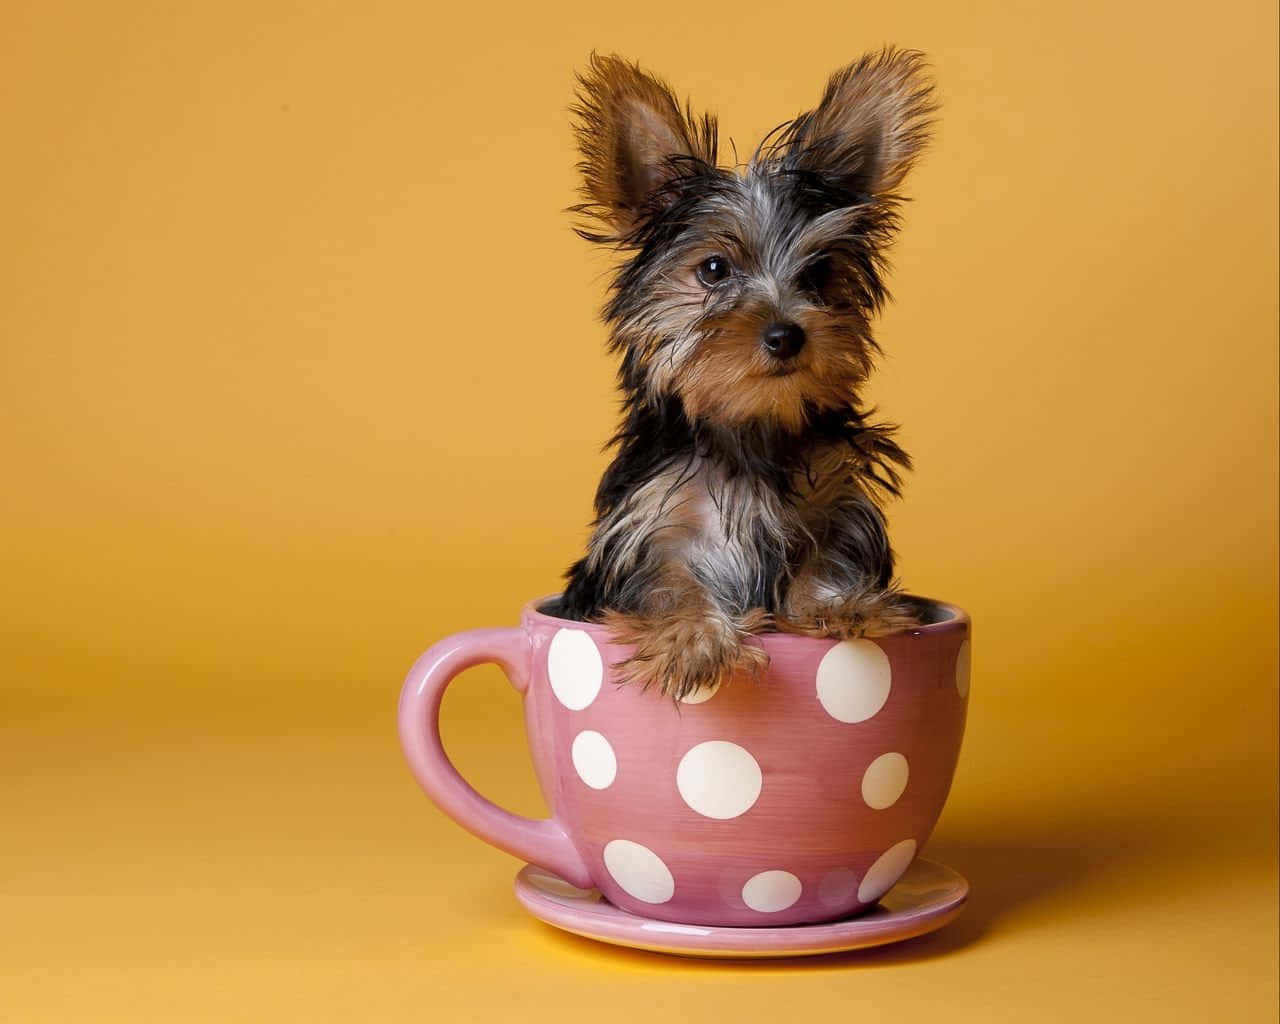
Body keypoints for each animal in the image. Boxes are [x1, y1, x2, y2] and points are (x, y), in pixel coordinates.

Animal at [560, 49, 942, 706]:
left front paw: (844, 604)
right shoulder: (649, 525)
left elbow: (827, 553)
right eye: (714, 269)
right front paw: (694, 640)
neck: (749, 424)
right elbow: (670, 580)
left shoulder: (835, 500)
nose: (787, 333)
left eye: (819, 273)